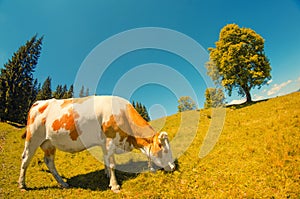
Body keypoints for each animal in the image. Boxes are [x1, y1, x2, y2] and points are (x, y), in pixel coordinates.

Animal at [18, 95, 176, 192]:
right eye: (165, 150)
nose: (173, 167)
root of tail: (38, 102)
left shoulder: (104, 143)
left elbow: (106, 161)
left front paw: (107, 175)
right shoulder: (109, 140)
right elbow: (112, 164)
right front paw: (115, 185)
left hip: (49, 143)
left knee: (49, 162)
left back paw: (63, 183)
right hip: (33, 138)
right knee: (25, 159)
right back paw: (22, 184)